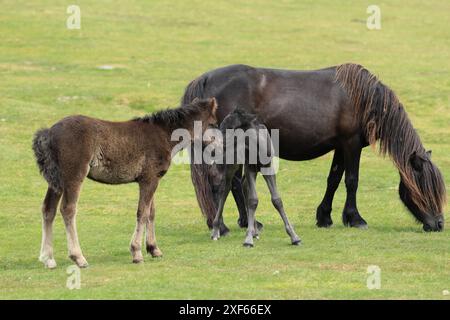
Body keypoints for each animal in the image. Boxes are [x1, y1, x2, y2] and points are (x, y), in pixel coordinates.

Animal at [31, 98, 218, 268]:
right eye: (214, 123)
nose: (218, 148)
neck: (163, 134)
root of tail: (49, 132)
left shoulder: (151, 179)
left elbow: (151, 212)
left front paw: (153, 249)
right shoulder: (149, 179)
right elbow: (142, 213)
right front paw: (137, 253)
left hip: (57, 181)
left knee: (48, 209)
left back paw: (48, 259)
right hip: (74, 176)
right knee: (68, 209)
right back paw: (78, 257)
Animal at [208, 108, 300, 248]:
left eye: (230, 127)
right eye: (222, 125)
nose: (215, 149)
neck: (257, 147)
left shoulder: (267, 167)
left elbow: (277, 200)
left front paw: (294, 236)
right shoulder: (250, 168)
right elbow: (253, 200)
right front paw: (248, 240)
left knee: (244, 185)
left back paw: (255, 231)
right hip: (233, 164)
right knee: (226, 188)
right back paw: (216, 231)